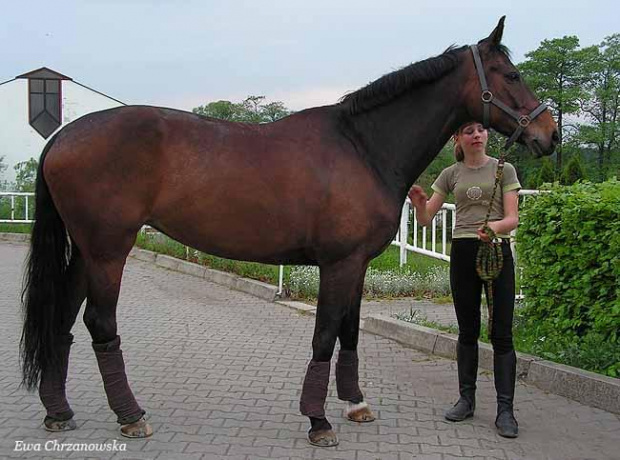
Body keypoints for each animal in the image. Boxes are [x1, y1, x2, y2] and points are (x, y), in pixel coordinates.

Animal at [23, 17, 556, 446]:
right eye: (512, 75)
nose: (549, 134)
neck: (362, 147)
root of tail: (62, 137)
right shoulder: (337, 265)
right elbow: (324, 336)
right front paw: (318, 422)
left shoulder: (357, 265)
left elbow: (349, 334)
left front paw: (356, 404)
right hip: (109, 250)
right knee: (99, 324)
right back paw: (131, 415)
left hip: (87, 251)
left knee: (61, 320)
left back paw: (58, 411)